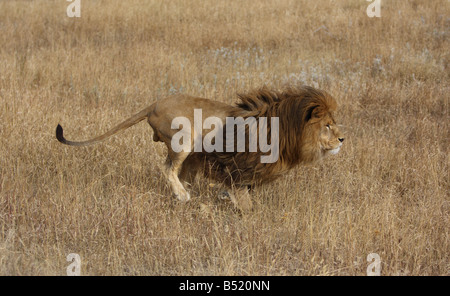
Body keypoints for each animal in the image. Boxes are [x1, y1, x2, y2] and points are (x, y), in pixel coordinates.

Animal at [56, 85, 344, 210]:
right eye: (328, 125)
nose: (343, 139)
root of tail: (154, 104)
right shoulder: (238, 164)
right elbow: (243, 195)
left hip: (192, 151)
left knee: (179, 173)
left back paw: (183, 194)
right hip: (184, 139)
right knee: (167, 168)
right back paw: (183, 196)